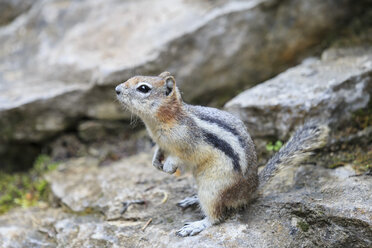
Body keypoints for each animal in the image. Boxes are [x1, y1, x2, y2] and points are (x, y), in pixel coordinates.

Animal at [114, 71, 328, 236]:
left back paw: (196, 225)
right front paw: (155, 162)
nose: (116, 89)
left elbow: (179, 157)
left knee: (217, 215)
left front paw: (167, 167)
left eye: (143, 88)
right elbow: (159, 151)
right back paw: (193, 199)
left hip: (213, 188)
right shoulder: (161, 144)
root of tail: (251, 190)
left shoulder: (186, 144)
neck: (163, 120)